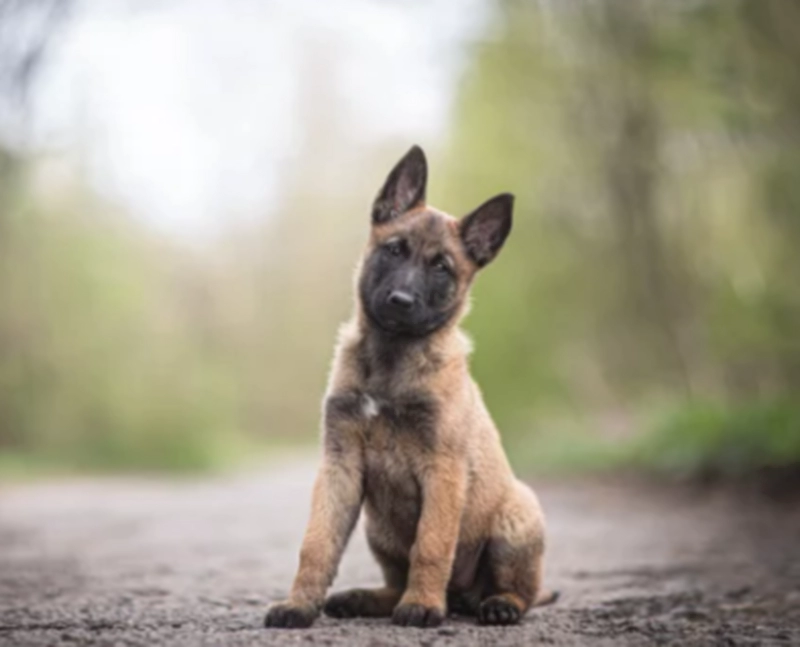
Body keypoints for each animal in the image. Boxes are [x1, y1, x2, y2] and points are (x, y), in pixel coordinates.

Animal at [266, 146, 552, 628]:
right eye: (394, 250)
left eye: (441, 268)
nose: (401, 301)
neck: (391, 358)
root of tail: (464, 597)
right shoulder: (340, 464)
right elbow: (317, 543)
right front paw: (299, 605)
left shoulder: (443, 469)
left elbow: (432, 544)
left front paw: (422, 605)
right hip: (378, 527)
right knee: (394, 582)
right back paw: (364, 600)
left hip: (517, 515)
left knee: (523, 591)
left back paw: (496, 605)